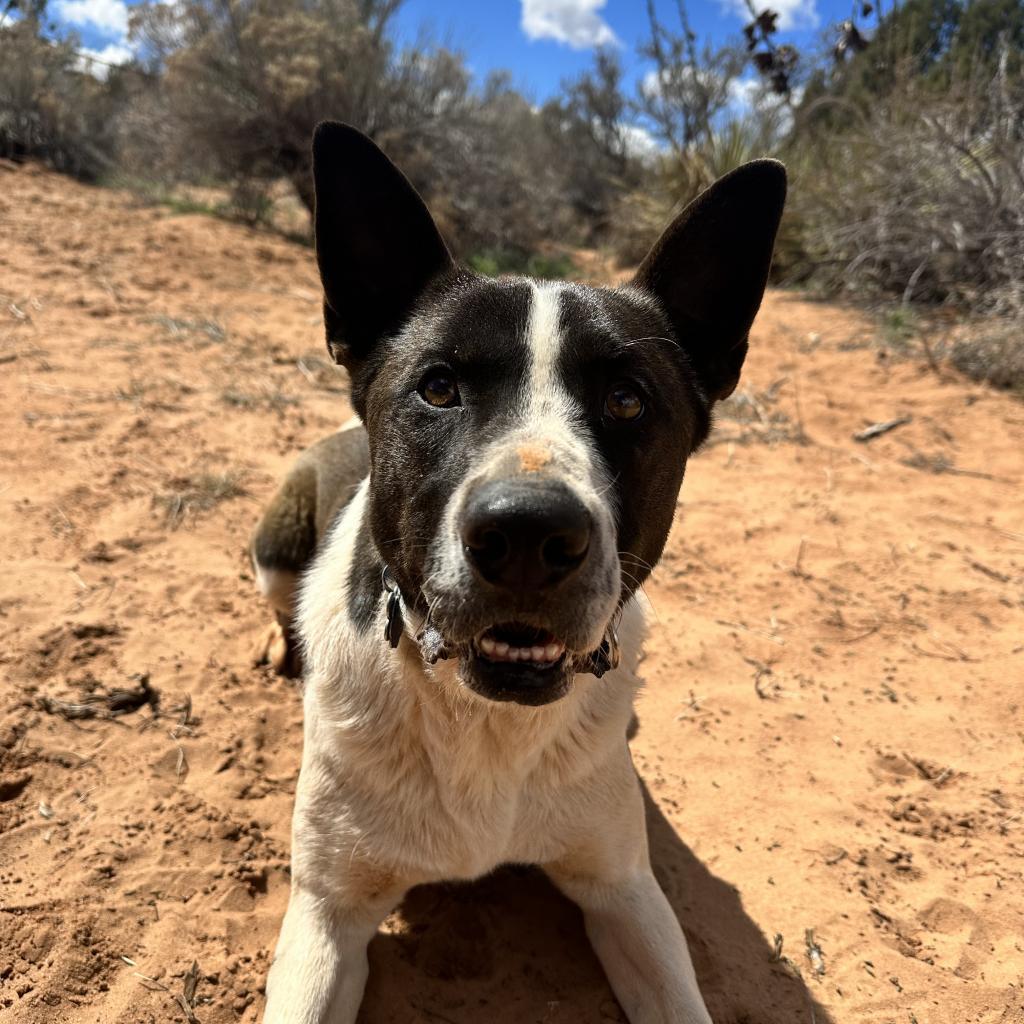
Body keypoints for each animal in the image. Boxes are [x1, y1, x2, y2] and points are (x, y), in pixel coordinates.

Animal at [253, 121, 782, 1024]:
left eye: (629, 400)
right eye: (437, 388)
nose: (529, 533)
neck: (484, 722)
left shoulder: (624, 889)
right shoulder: (328, 915)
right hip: (273, 541)